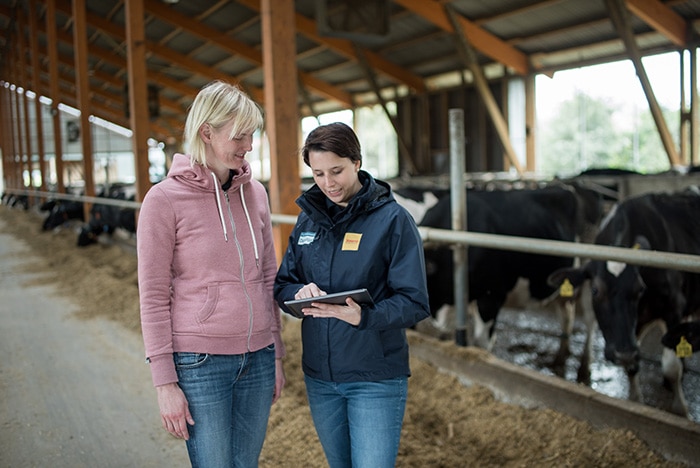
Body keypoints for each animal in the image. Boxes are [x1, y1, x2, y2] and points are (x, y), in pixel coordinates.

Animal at [418, 182, 604, 380]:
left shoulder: (491, 297)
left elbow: (481, 343)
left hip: (590, 276)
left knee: (590, 320)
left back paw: (584, 369)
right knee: (566, 313)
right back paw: (560, 358)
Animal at [548, 190, 700, 416]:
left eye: (640, 289)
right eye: (595, 290)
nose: (623, 353)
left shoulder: (674, 309)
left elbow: (671, 366)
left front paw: (680, 409)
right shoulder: (632, 331)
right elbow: (634, 366)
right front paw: (635, 401)